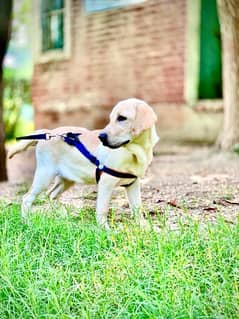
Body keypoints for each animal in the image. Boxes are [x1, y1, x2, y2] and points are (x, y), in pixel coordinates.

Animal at [8, 99, 159, 229]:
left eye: (122, 118)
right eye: (111, 119)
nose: (101, 137)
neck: (135, 151)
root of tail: (48, 132)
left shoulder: (132, 183)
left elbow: (137, 208)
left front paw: (144, 227)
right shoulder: (106, 183)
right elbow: (102, 209)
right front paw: (105, 230)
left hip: (67, 179)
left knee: (51, 194)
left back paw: (63, 216)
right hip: (45, 175)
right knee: (27, 198)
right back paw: (27, 222)